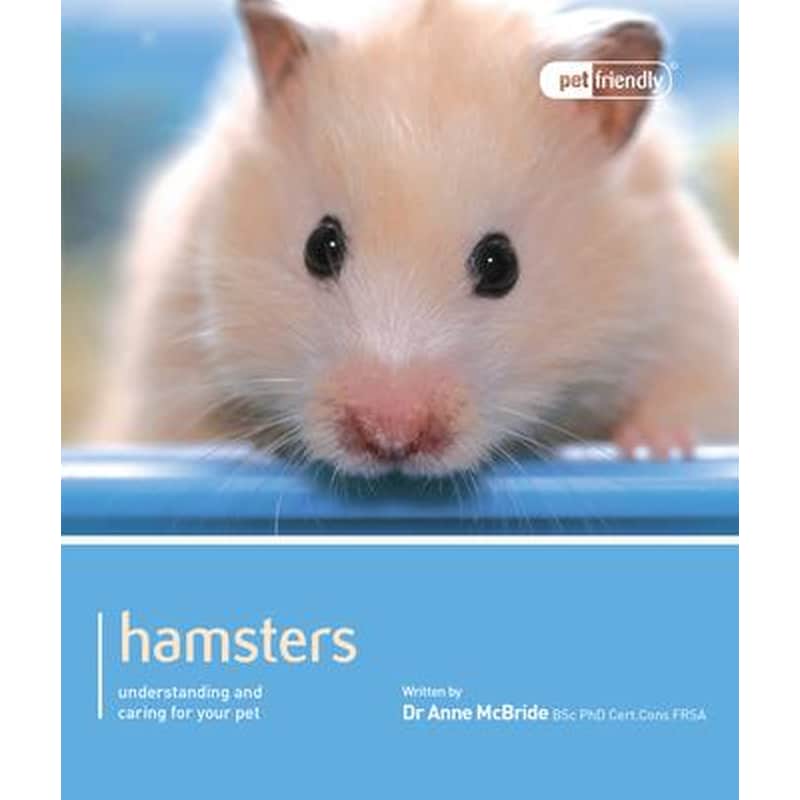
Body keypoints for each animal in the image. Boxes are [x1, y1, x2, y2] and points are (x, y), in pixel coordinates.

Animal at [95, 0, 738, 477]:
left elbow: (687, 397)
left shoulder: (688, 316)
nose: (390, 439)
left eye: (500, 264)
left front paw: (659, 448)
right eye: (319, 247)